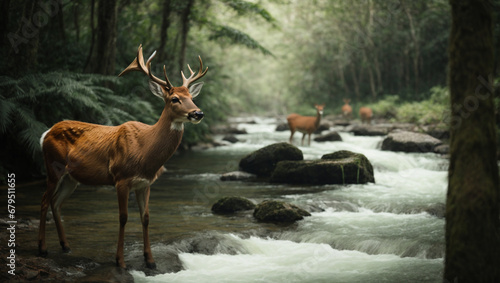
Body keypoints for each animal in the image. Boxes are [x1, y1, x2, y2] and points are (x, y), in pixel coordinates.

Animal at [38, 45, 208, 270]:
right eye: (175, 99)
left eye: (191, 96)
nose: (198, 113)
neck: (144, 151)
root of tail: (45, 134)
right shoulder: (121, 178)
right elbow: (123, 217)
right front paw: (120, 261)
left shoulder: (145, 183)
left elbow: (146, 217)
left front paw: (150, 260)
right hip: (53, 168)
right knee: (44, 200)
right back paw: (42, 249)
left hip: (71, 178)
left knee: (56, 203)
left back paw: (65, 246)